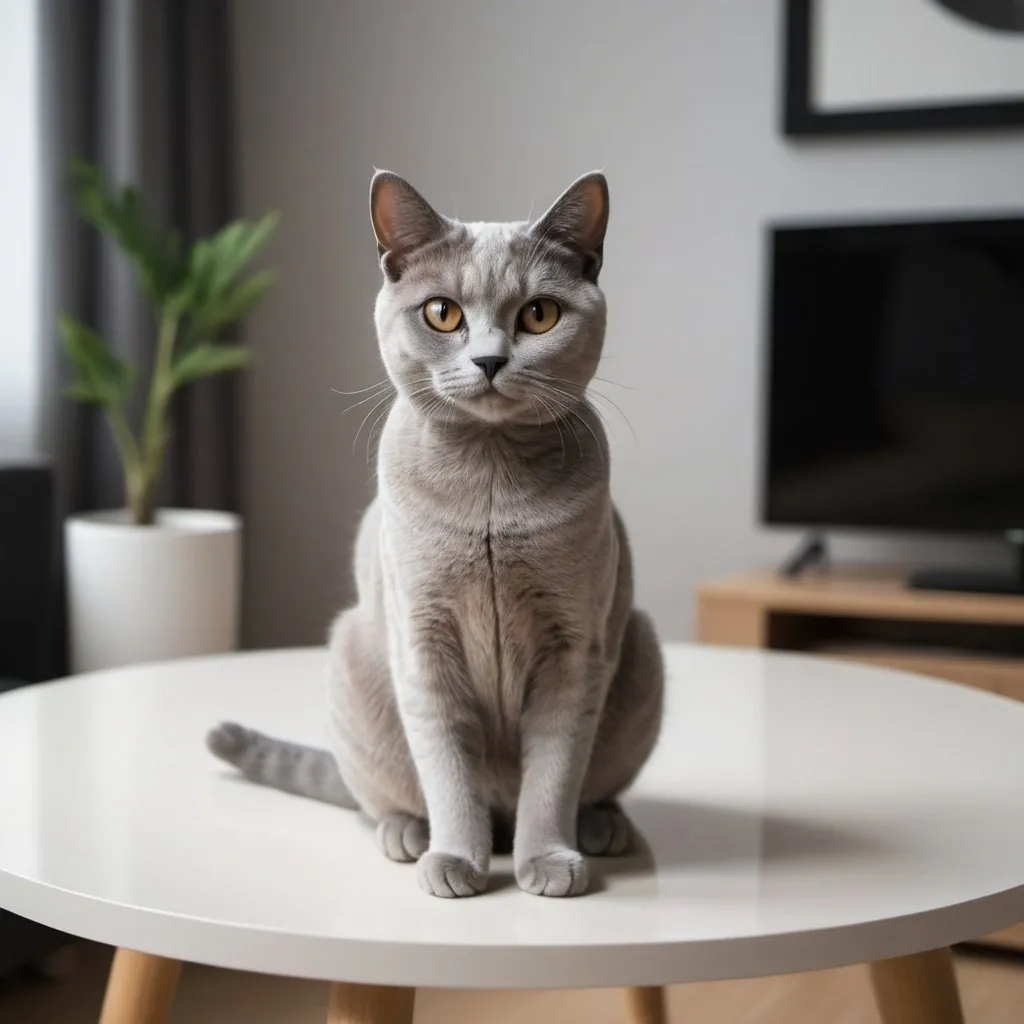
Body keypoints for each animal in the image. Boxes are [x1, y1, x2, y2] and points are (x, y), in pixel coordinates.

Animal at [211, 172, 667, 901]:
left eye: (540, 315)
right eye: (442, 314)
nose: (489, 359)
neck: (490, 487)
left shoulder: (576, 650)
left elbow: (554, 775)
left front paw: (548, 861)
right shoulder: (424, 642)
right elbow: (448, 772)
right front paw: (456, 860)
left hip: (639, 644)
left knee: (585, 789)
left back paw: (602, 827)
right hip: (355, 651)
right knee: (386, 797)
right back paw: (409, 834)